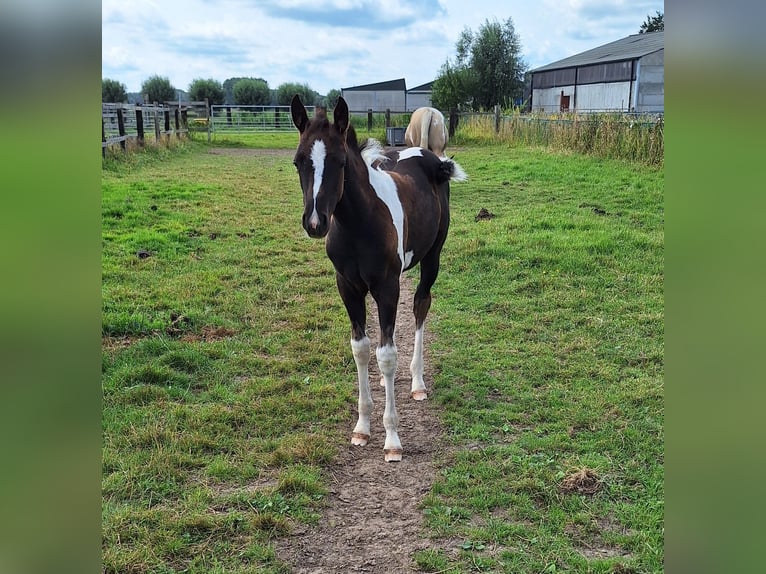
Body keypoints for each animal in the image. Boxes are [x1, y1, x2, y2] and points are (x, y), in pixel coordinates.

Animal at [290, 95, 464, 464]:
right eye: (298, 162)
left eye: (341, 161)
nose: (315, 223)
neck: (358, 223)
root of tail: (429, 157)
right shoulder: (348, 287)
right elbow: (361, 348)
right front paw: (362, 427)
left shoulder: (387, 287)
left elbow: (386, 355)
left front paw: (392, 440)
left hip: (432, 257)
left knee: (421, 306)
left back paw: (417, 382)